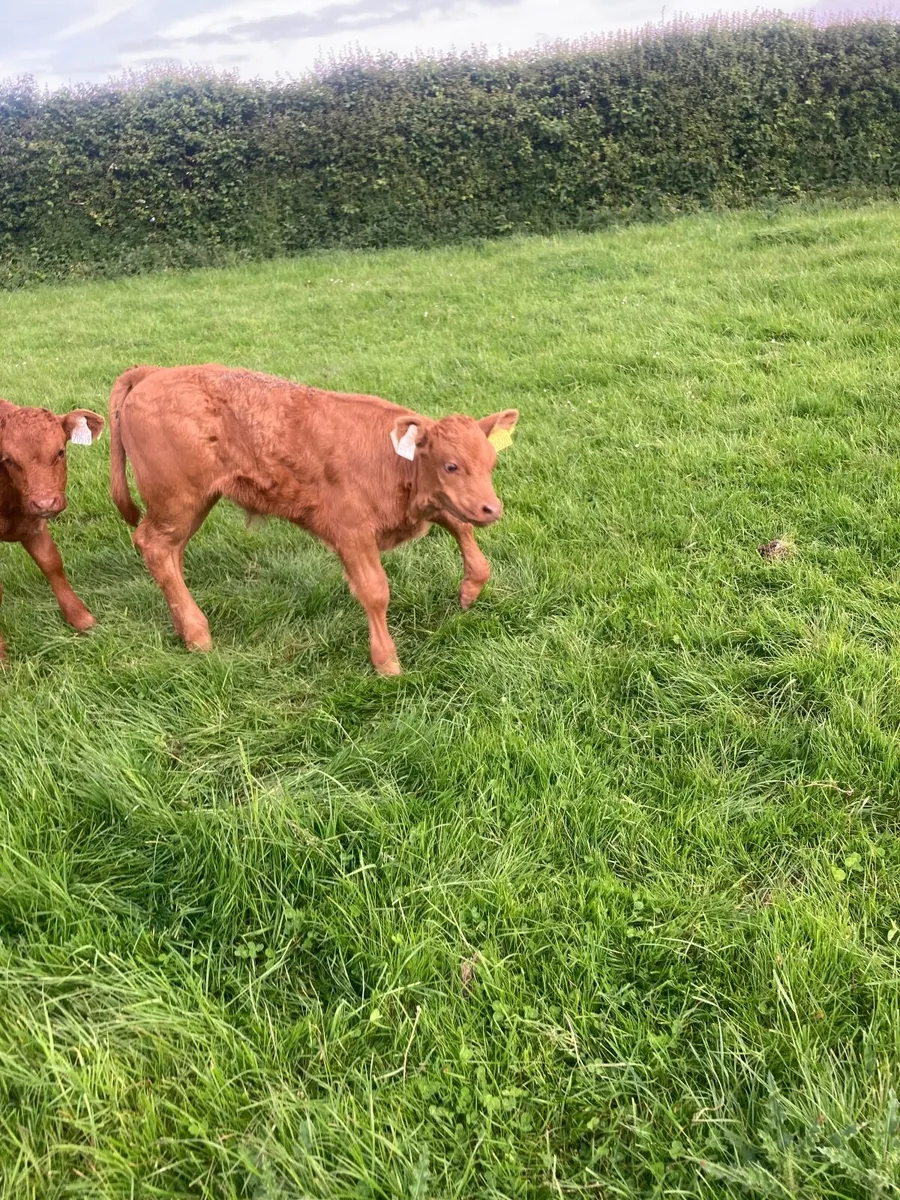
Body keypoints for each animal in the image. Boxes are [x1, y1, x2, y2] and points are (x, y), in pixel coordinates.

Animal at [0, 399, 105, 660]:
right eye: (9, 460)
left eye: (60, 452)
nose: (45, 502)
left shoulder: (34, 525)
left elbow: (51, 563)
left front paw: (81, 619)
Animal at [108, 364, 518, 674]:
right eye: (451, 465)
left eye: (491, 463)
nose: (492, 508)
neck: (393, 460)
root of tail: (154, 372)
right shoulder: (351, 531)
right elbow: (375, 592)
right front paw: (387, 663)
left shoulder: (426, 506)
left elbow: (463, 529)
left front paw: (470, 589)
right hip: (177, 500)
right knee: (155, 547)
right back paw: (197, 634)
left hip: (191, 504)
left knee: (170, 555)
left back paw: (183, 625)